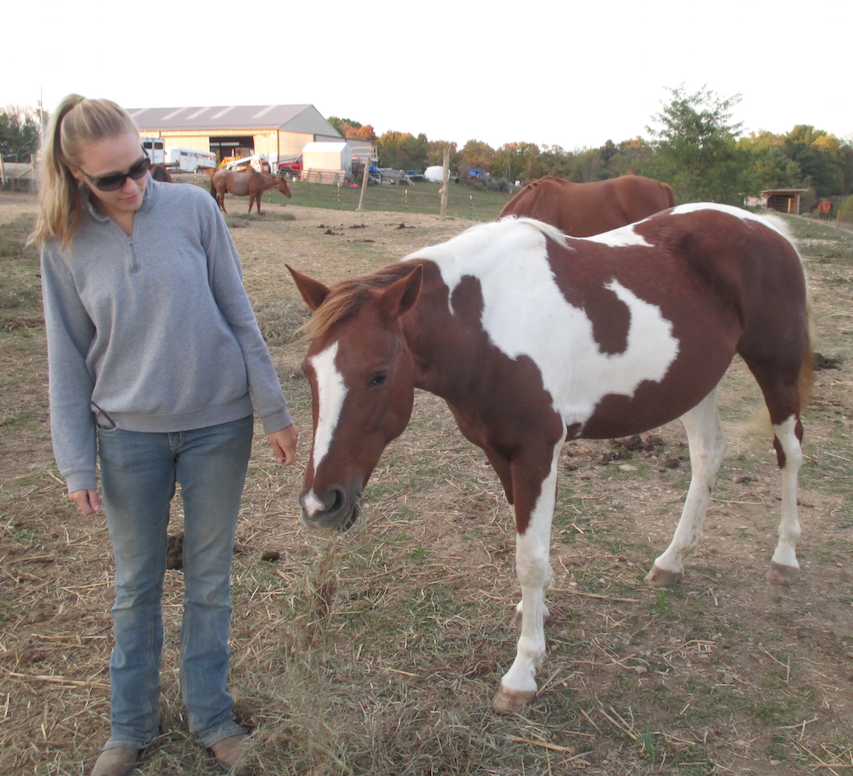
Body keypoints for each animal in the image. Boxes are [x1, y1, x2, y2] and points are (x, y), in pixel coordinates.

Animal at [287, 204, 812, 714]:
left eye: (378, 375)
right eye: (308, 372)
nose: (320, 504)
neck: (489, 321)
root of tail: (769, 227)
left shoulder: (536, 452)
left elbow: (530, 560)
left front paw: (522, 673)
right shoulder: (501, 452)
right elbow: (527, 546)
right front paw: (534, 612)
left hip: (776, 368)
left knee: (789, 452)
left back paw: (785, 558)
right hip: (695, 383)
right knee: (707, 456)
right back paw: (672, 561)